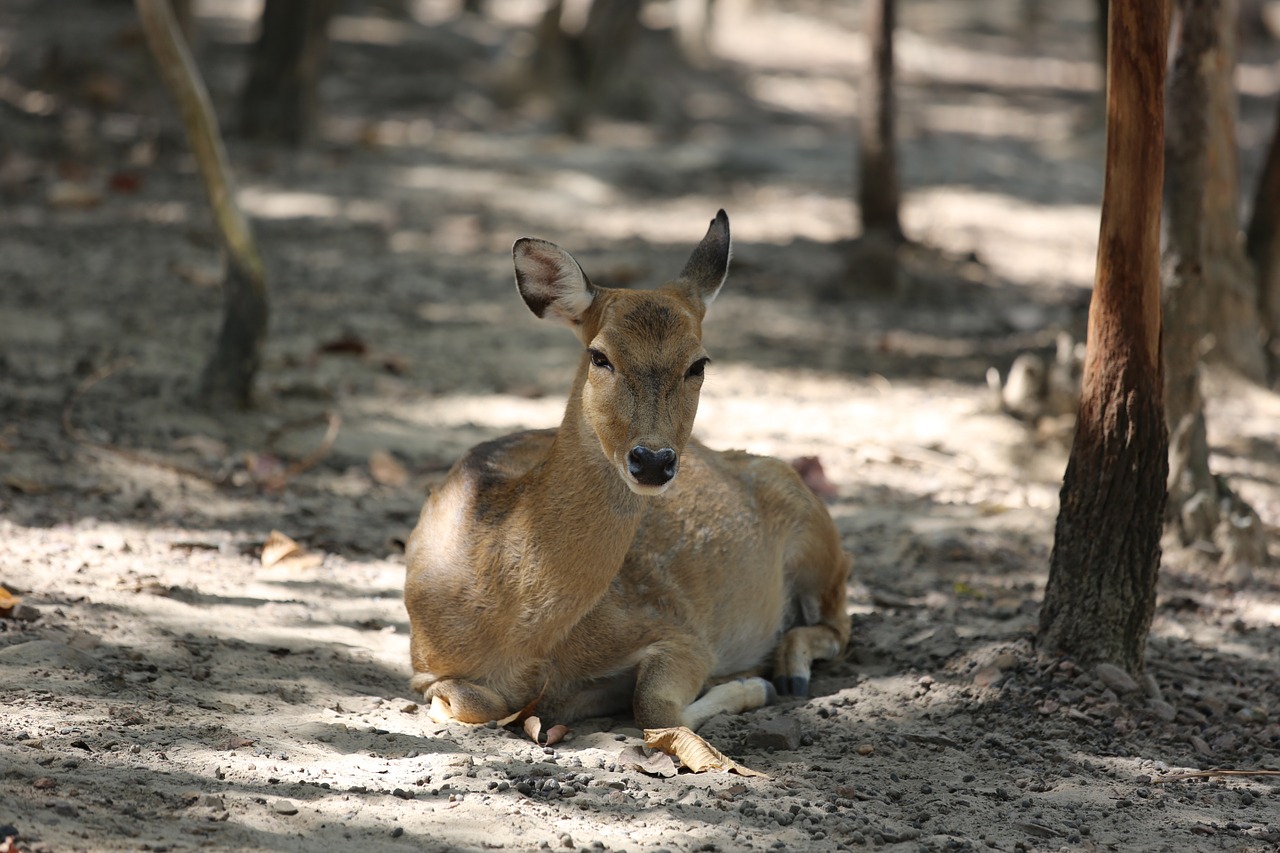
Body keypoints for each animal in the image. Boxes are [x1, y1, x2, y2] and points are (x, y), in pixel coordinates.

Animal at [404, 211, 849, 758]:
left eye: (698, 363)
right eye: (600, 356)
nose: (652, 460)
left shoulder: (679, 631)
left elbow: (654, 706)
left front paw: (751, 686)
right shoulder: (423, 663)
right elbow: (468, 701)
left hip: (817, 535)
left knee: (837, 623)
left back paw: (786, 674)